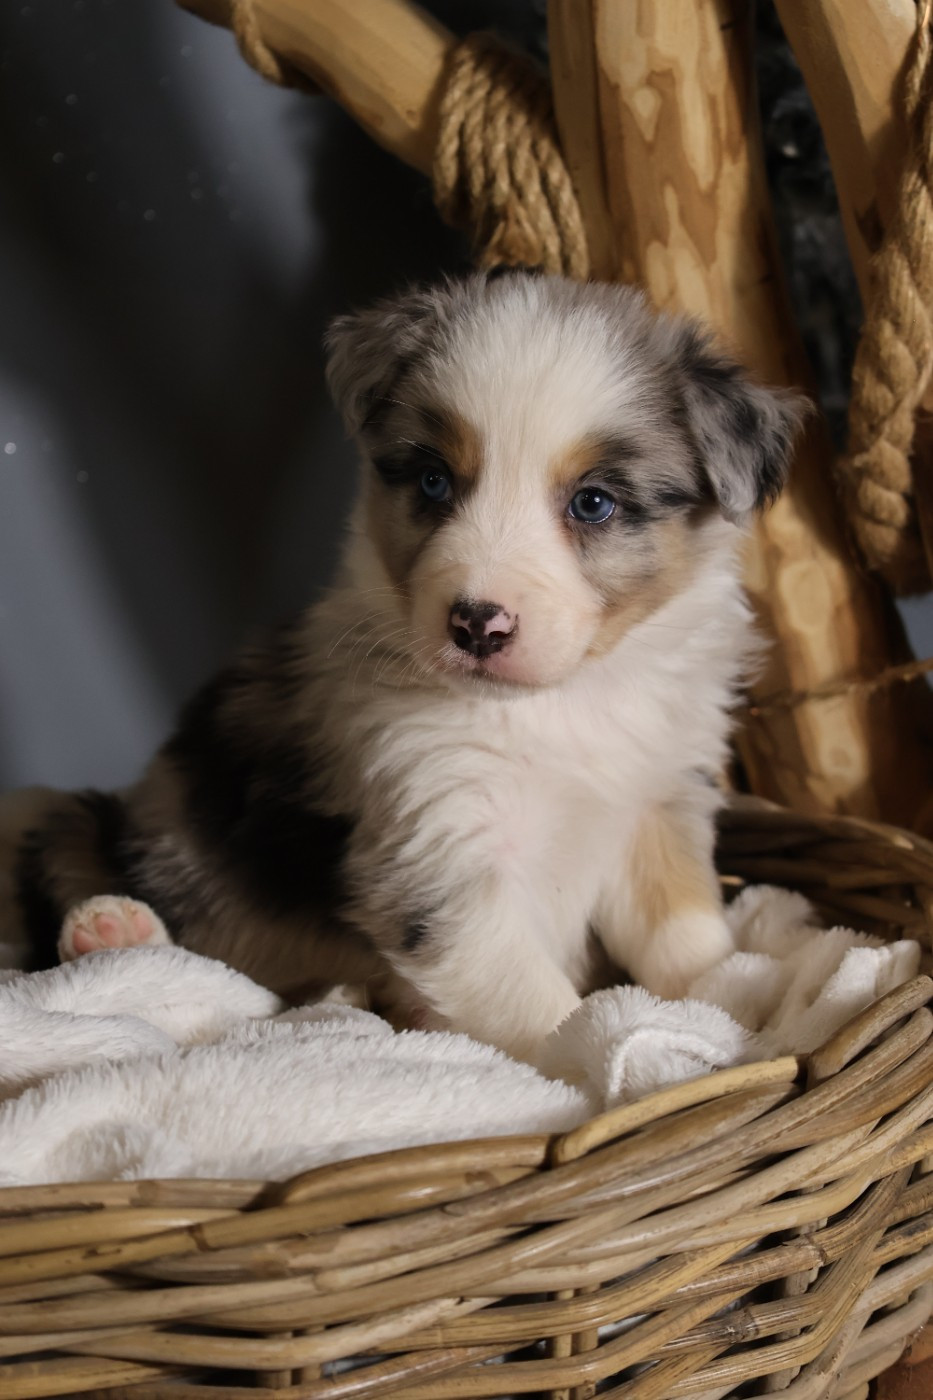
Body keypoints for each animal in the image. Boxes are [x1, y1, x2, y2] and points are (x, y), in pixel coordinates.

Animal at [2, 271, 804, 1064]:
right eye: (433, 481)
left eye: (593, 502)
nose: (477, 623)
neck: (555, 706)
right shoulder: (439, 852)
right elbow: (542, 1011)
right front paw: (598, 1056)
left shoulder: (652, 808)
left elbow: (684, 932)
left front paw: (731, 1004)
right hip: (94, 826)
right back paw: (113, 929)